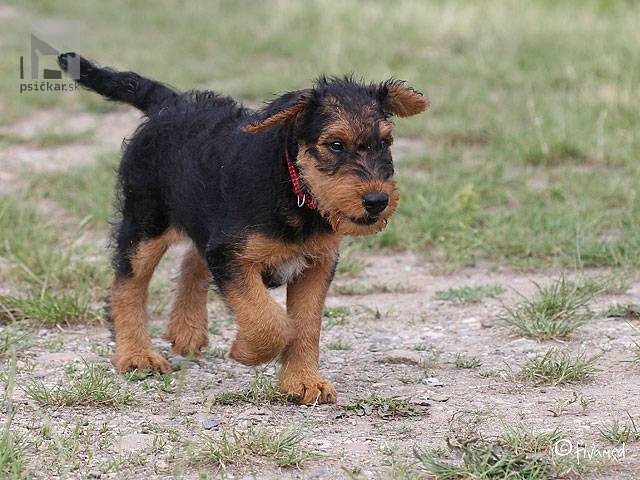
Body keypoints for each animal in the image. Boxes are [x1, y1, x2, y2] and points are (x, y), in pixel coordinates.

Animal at [57, 52, 428, 404]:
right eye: (336, 144)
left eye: (386, 143)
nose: (377, 200)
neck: (293, 187)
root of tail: (170, 103)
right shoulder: (232, 256)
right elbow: (270, 322)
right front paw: (247, 352)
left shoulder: (317, 264)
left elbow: (306, 326)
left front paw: (303, 382)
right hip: (146, 221)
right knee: (128, 283)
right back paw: (136, 354)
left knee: (192, 258)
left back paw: (187, 329)